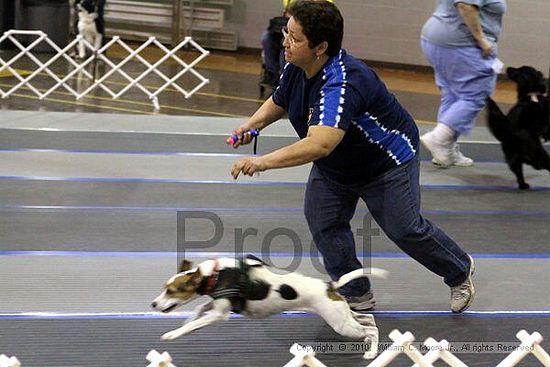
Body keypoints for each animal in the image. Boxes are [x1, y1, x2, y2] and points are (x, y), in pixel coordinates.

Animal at [153, 256, 390, 360]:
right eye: (164, 288)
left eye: (171, 291)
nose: (153, 304)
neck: (214, 274)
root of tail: (329, 285)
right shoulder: (218, 303)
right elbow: (200, 309)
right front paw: (187, 319)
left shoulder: (220, 315)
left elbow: (194, 323)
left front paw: (173, 333)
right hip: (344, 315)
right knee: (369, 321)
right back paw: (369, 344)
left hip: (340, 323)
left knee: (370, 330)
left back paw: (371, 353)